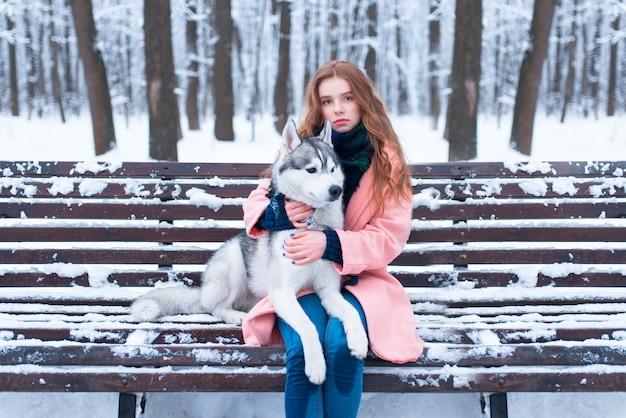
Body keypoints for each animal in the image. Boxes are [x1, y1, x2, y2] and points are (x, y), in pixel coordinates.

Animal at [130, 119, 366, 384]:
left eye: (333, 169)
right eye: (311, 170)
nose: (336, 190)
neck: (313, 225)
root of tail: (203, 290)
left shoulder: (328, 291)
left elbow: (351, 311)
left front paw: (358, 340)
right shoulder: (283, 293)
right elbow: (308, 325)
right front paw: (316, 365)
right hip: (233, 265)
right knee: (216, 308)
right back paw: (235, 316)